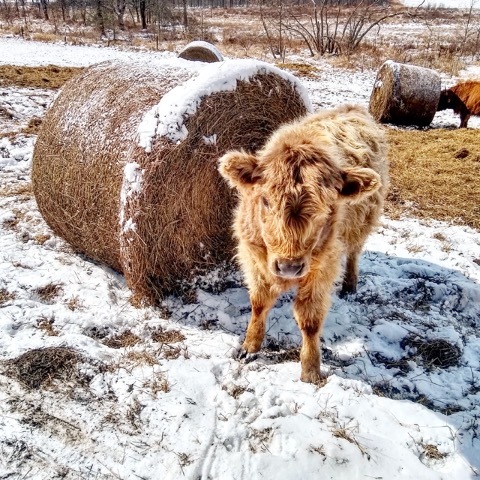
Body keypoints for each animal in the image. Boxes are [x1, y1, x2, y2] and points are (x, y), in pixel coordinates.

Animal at [219, 104, 388, 382]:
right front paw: (249, 346)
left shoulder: (323, 268)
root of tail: (352, 109)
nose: (289, 267)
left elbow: (310, 320)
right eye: (265, 201)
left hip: (362, 222)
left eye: (325, 208)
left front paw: (310, 369)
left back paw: (350, 284)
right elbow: (258, 304)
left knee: (354, 251)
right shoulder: (253, 258)